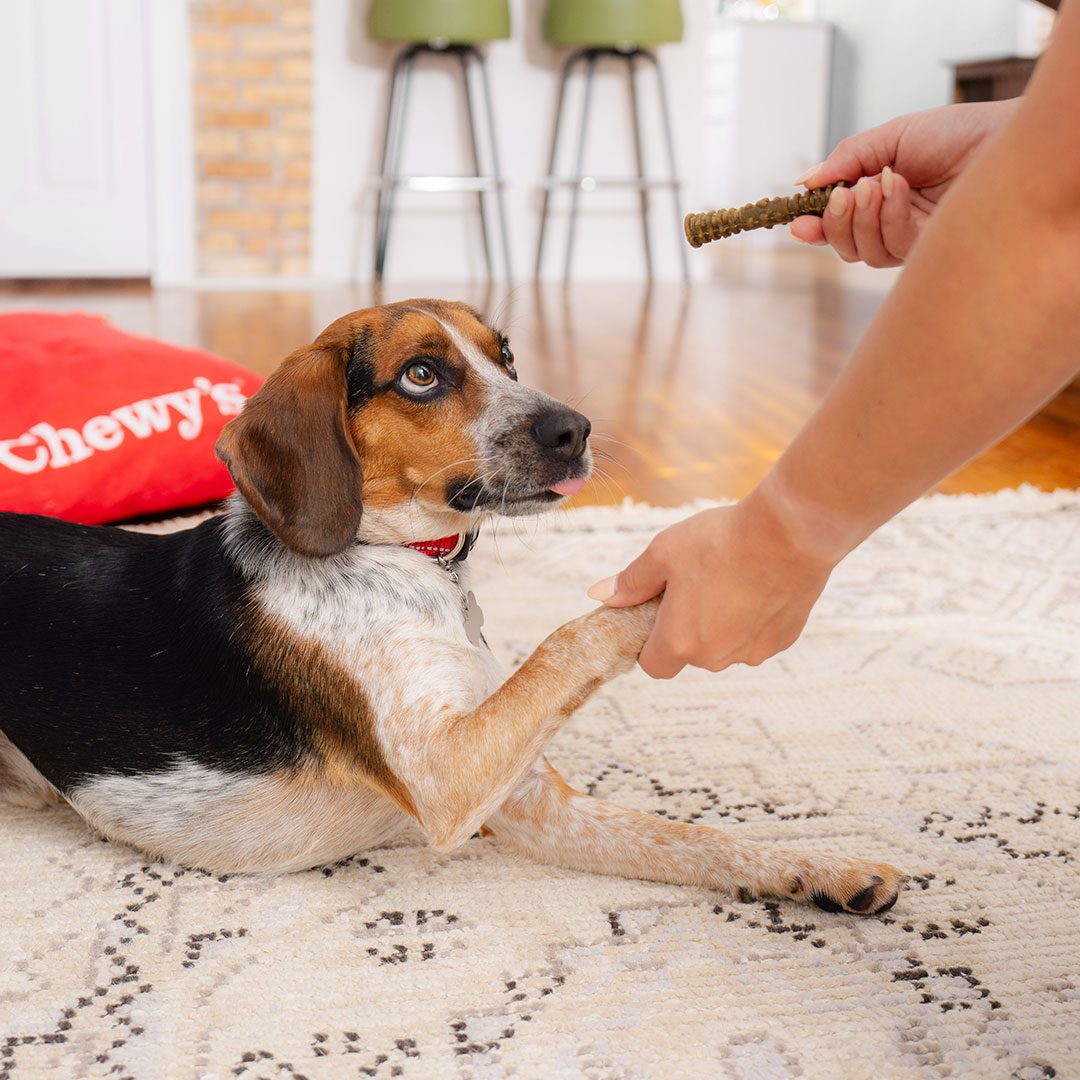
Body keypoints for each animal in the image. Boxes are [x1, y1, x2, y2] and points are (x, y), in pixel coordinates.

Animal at [0, 300, 902, 915]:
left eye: (507, 356)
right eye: (422, 375)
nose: (576, 428)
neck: (409, 564)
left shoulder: (534, 802)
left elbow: (692, 836)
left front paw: (821, 870)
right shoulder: (445, 775)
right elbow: (575, 636)